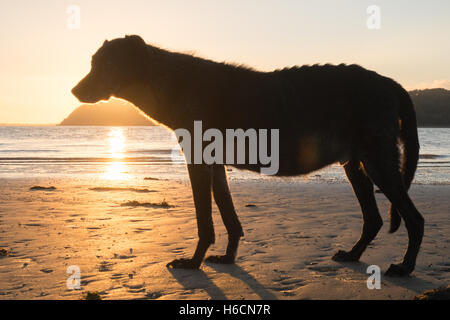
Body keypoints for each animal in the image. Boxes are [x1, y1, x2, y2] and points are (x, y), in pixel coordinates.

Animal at [72, 34, 424, 276]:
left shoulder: (198, 162)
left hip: (378, 162)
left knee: (415, 218)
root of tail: (390, 82)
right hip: (356, 163)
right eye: (92, 62)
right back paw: (354, 254)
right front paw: (228, 257)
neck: (171, 81)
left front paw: (194, 261)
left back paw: (406, 266)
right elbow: (230, 217)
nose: (74, 91)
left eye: (107, 64)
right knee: (374, 218)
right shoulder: (215, 165)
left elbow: (205, 222)